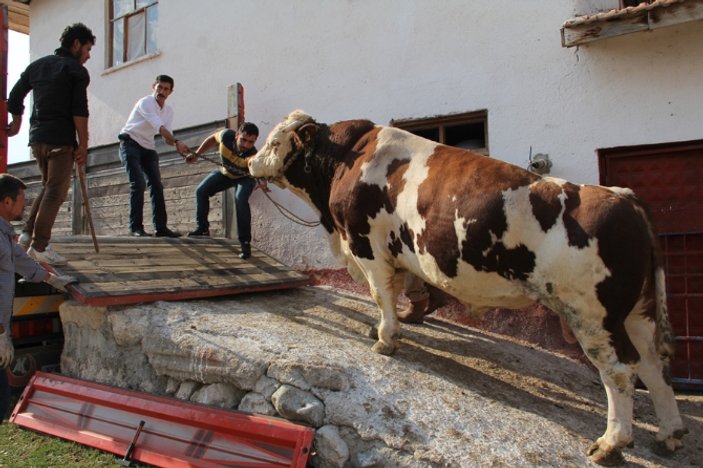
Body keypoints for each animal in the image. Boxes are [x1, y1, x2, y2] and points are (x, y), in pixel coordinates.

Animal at [249, 109, 688, 464]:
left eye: (273, 140)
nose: (251, 161)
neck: (348, 158)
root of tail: (623, 198)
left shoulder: (367, 246)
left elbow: (382, 294)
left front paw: (386, 338)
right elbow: (404, 286)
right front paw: (403, 320)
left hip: (594, 317)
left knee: (620, 371)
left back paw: (611, 443)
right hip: (638, 313)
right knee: (655, 366)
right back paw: (669, 434)